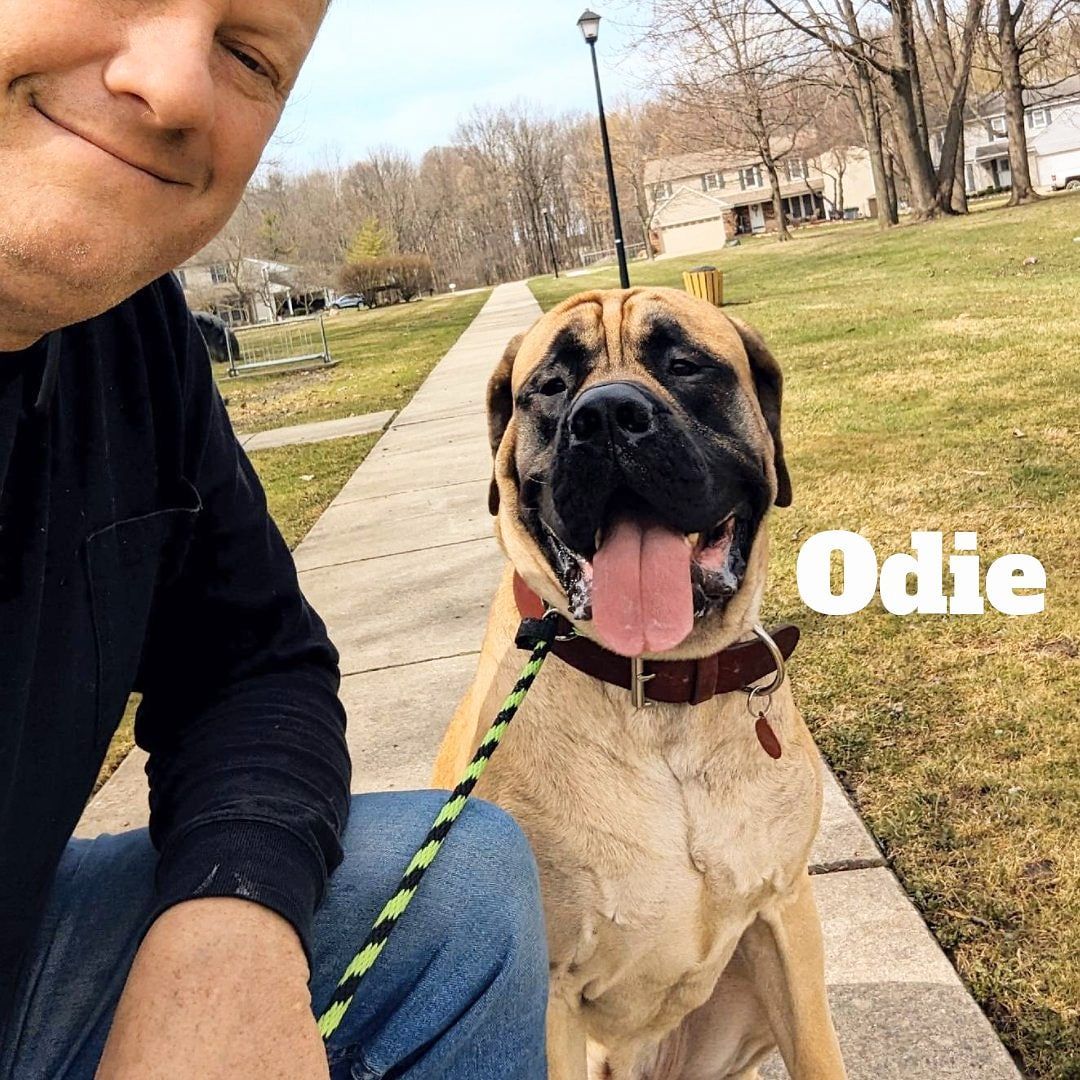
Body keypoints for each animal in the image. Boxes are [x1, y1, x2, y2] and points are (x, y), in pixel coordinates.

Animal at [434, 287, 846, 1080]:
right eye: (551, 386)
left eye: (684, 364)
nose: (606, 417)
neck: (659, 693)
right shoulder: (551, 1001)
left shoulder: (787, 913)